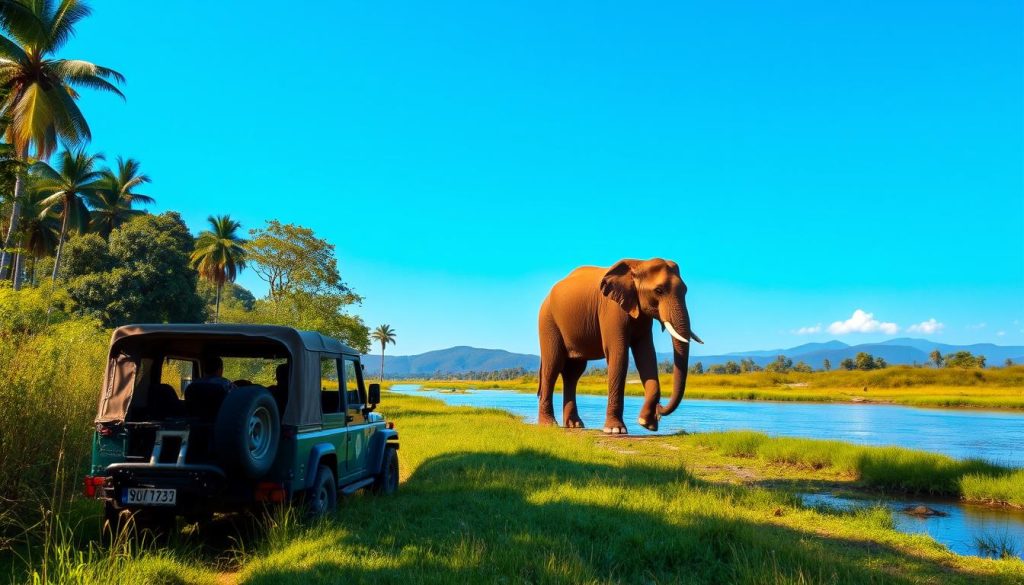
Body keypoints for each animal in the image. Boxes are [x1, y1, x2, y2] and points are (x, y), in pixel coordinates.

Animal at [536, 258, 704, 432]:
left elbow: (647, 357)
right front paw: (616, 430)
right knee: (553, 365)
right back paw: (548, 424)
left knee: (573, 372)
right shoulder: (612, 309)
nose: (659, 409)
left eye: (685, 291)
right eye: (658, 290)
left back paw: (575, 425)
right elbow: (619, 355)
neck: (639, 264)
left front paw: (647, 423)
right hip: (548, 321)